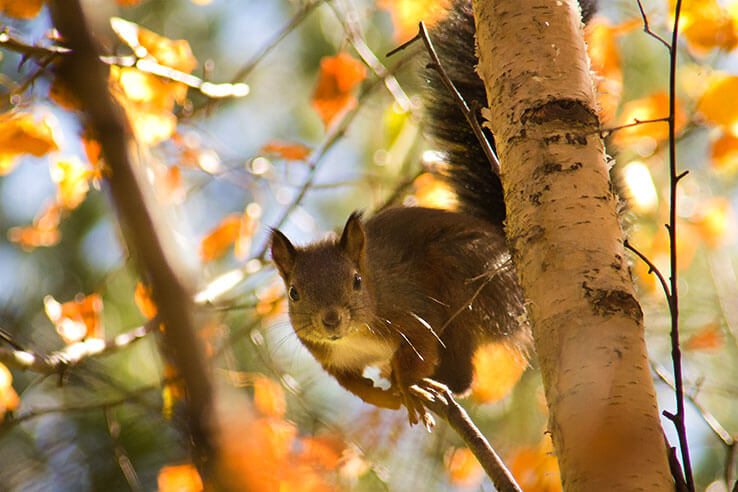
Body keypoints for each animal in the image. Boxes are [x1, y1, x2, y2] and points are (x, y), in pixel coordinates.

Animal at [270, 0, 596, 425]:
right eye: (294, 293)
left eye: (356, 281)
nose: (330, 320)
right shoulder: (330, 359)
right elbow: (352, 384)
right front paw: (381, 397)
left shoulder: (413, 314)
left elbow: (420, 349)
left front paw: (408, 386)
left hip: (469, 277)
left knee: (463, 373)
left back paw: (436, 384)